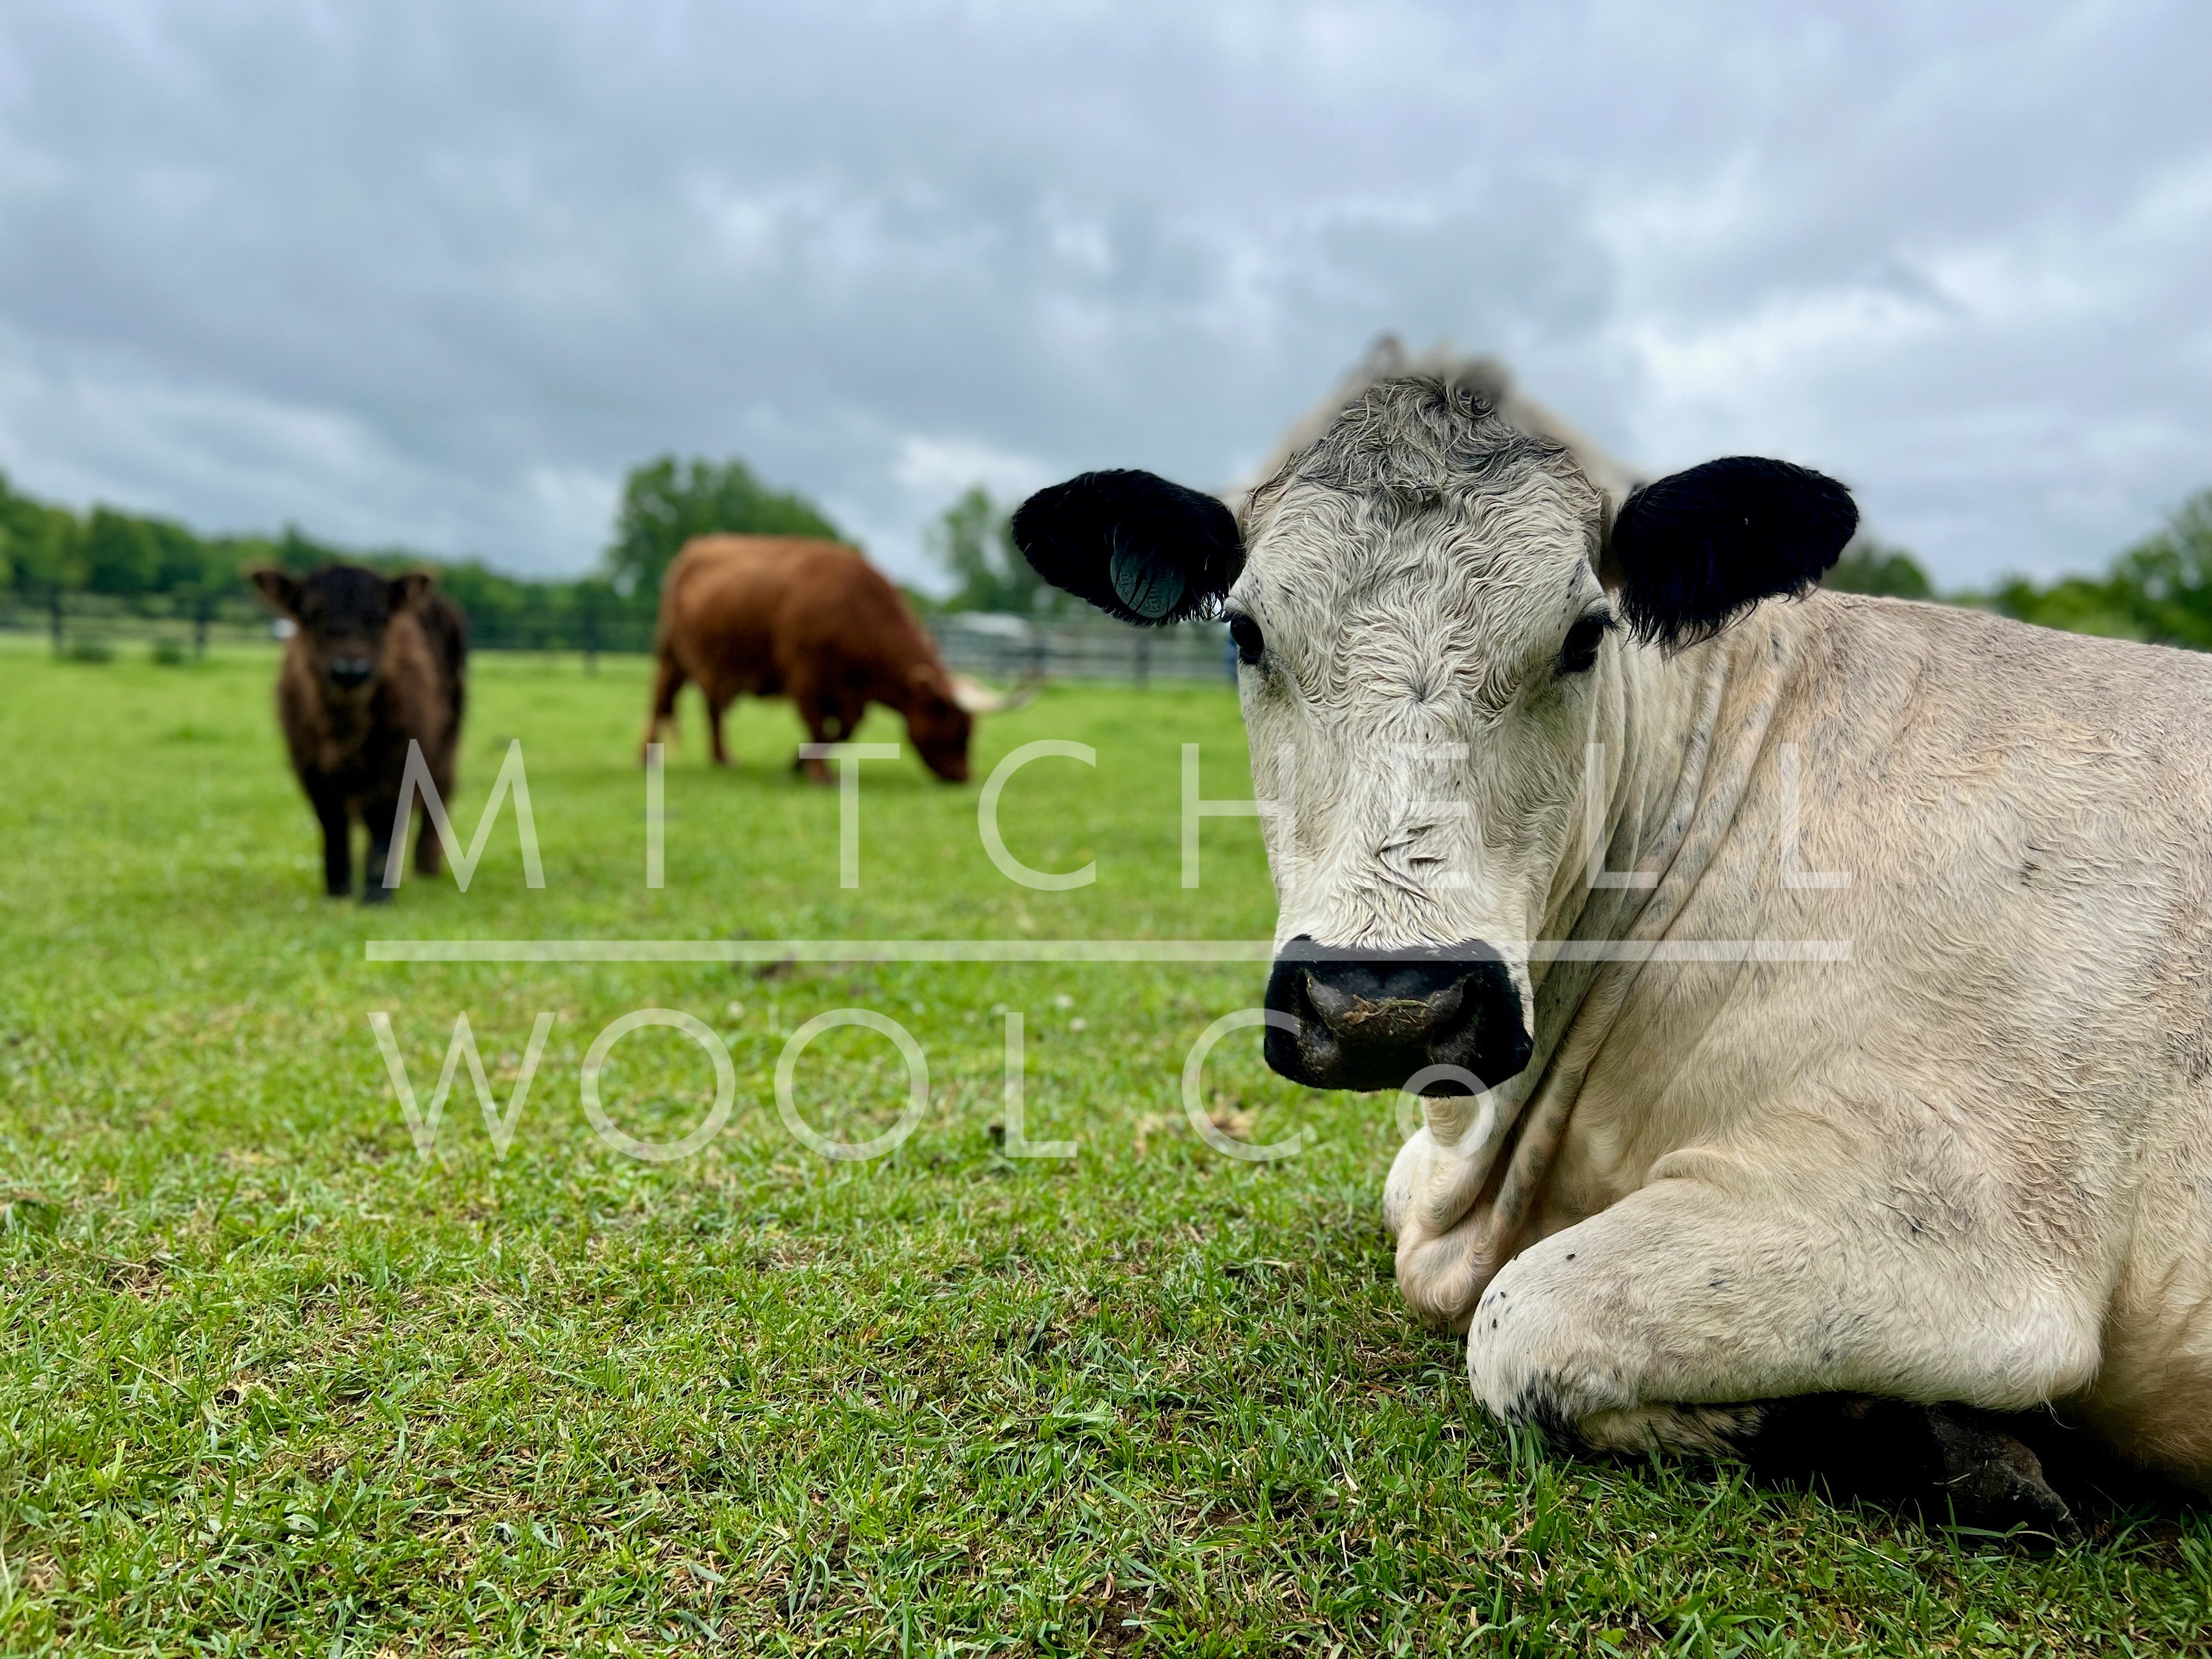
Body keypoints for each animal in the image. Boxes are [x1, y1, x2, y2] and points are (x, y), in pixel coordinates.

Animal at [252, 571, 466, 911]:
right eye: (312, 614)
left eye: (381, 617)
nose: (350, 669)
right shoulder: (311, 770)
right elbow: (333, 825)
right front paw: (337, 890)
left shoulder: (398, 765)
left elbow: (384, 824)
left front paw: (377, 895)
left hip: (446, 742)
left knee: (440, 791)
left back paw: (426, 868)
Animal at [641, 539, 1017, 787]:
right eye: (955, 729)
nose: (963, 778)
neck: (856, 610)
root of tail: (699, 546)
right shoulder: (805, 679)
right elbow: (818, 726)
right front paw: (818, 774)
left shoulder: (849, 695)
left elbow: (844, 731)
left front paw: (799, 763)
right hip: (671, 656)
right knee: (660, 701)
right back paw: (645, 758)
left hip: (714, 667)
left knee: (713, 710)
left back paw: (722, 760)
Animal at [1013, 369, 2212, 1531]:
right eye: (1247, 632)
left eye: (1585, 634)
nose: (1388, 1002)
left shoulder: (1968, 1227)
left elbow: (1524, 1324)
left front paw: (1932, 1442)